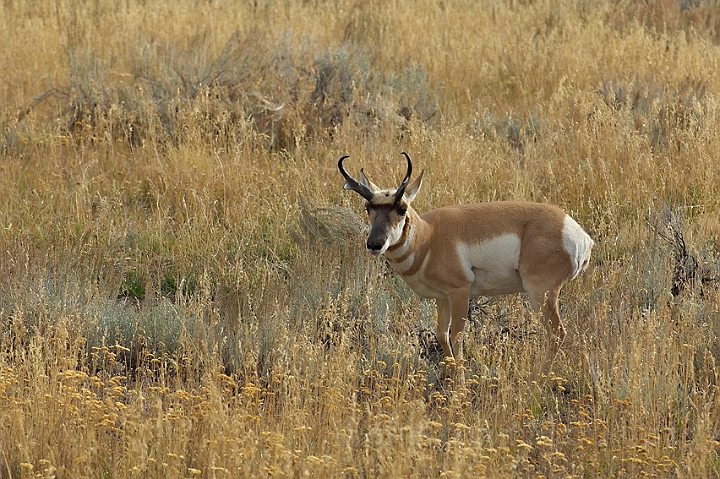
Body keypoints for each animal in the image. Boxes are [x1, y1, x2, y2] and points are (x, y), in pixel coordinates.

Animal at [340, 152, 592, 380]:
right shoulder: (442, 297)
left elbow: (457, 335)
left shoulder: (460, 292)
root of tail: (577, 232)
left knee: (557, 333)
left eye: (402, 209)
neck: (429, 237)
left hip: (541, 293)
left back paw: (535, 382)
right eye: (368, 207)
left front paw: (460, 386)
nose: (375, 244)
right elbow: (442, 334)